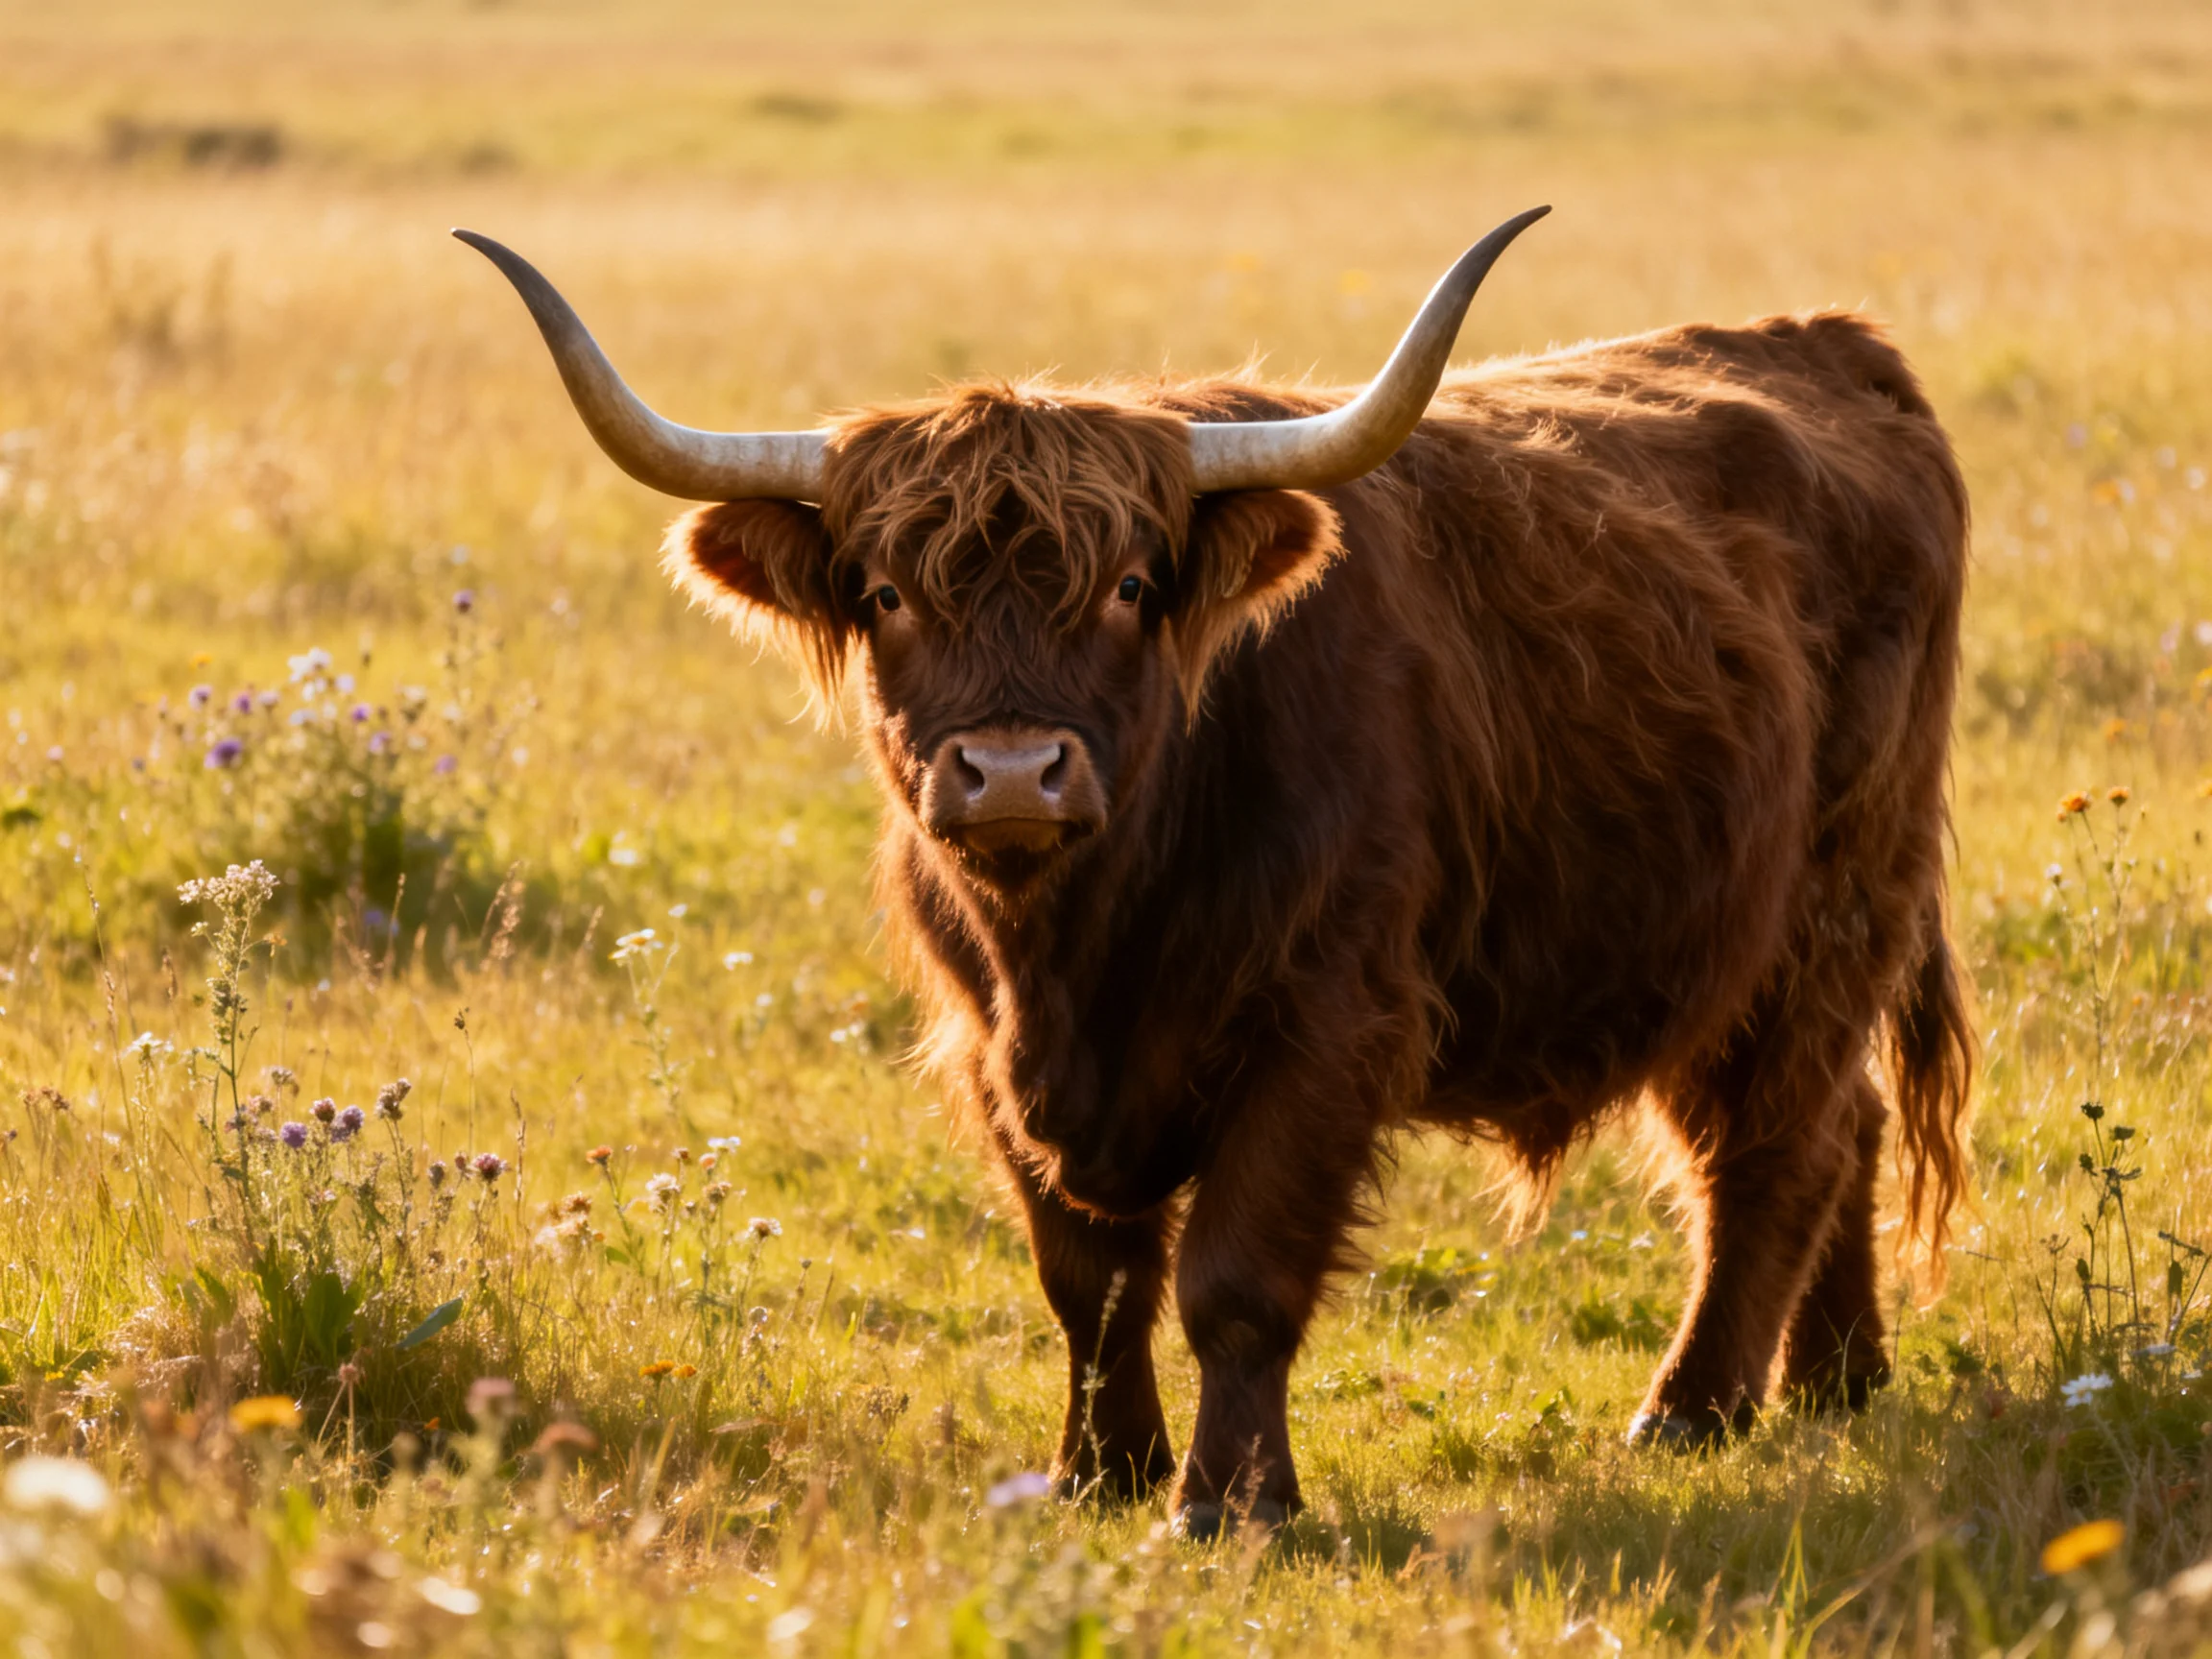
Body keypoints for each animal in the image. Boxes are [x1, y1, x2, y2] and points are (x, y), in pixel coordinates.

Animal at [458, 207, 1973, 1539]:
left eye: (1132, 587)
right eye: (888, 594)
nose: (1014, 772)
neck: (1083, 951)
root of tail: (1830, 346)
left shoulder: (1326, 1025)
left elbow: (1231, 1280)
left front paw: (1229, 1501)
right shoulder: (988, 1046)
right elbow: (1087, 1280)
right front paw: (1098, 1474)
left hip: (1830, 906)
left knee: (1776, 1144)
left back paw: (1695, 1407)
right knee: (1842, 1126)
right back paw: (1836, 1379)